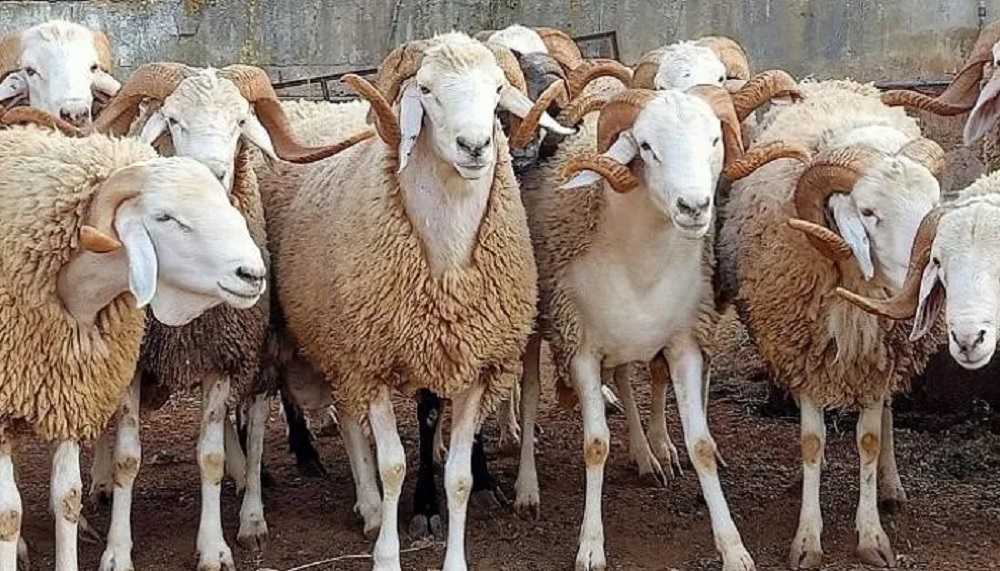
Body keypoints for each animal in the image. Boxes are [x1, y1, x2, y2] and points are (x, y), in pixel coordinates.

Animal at [82, 63, 367, 571]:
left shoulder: (223, 357)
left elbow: (210, 456)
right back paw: (96, 484)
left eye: (240, 122)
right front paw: (116, 549)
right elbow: (127, 459)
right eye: (173, 120)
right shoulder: (135, 364)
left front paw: (215, 546)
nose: (211, 175)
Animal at [259, 31, 574, 571]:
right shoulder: (372, 359)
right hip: (329, 336)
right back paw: (353, 494)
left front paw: (460, 528)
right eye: (425, 90)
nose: (476, 147)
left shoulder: (474, 362)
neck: (446, 265)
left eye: (496, 89)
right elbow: (394, 465)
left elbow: (459, 475)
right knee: (337, 415)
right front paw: (393, 543)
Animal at [513, 79, 809, 570]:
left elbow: (701, 444)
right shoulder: (581, 347)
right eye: (647, 147)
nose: (694, 207)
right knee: (533, 392)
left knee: (625, 381)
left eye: (714, 140)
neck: (640, 260)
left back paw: (645, 455)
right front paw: (590, 545)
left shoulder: (683, 342)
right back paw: (526, 486)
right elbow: (595, 444)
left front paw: (733, 548)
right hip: (540, 319)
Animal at [717, 79, 948, 569]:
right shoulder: (802, 353)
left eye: (933, 202)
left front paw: (872, 536)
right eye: (868, 213)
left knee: (888, 415)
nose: (929, 276)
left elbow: (869, 439)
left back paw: (890, 485)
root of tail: (837, 84)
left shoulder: (880, 359)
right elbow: (811, 441)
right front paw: (807, 539)